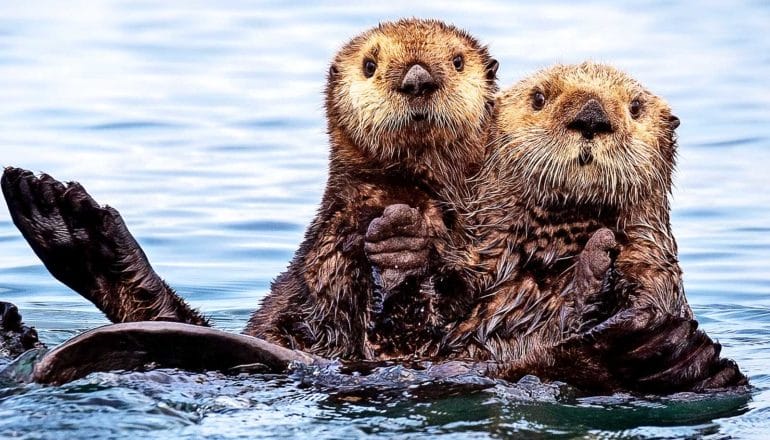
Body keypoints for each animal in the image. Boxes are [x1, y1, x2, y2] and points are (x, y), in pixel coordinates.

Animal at [366, 62, 744, 392]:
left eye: (636, 107)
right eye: (538, 98)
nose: (591, 118)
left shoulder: (652, 272)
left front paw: (598, 265)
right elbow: (403, 339)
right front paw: (402, 244)